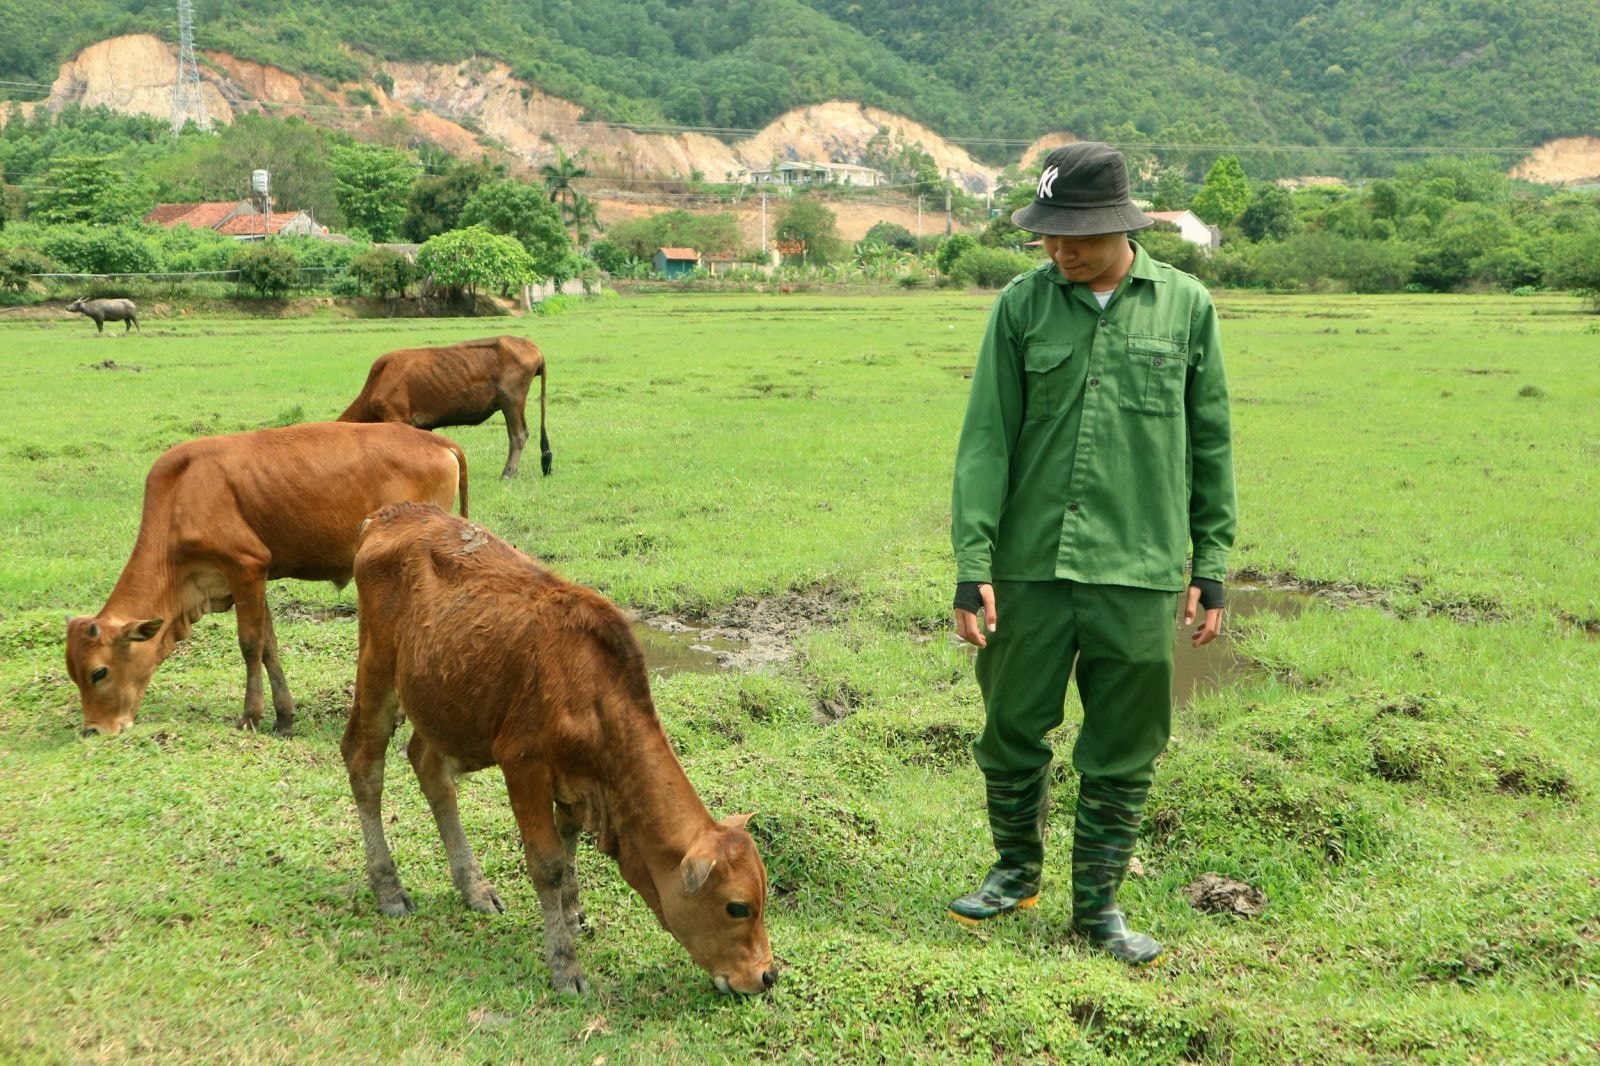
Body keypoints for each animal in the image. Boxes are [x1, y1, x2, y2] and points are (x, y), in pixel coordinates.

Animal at [68, 419, 467, 736]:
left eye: (99, 672)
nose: (93, 730)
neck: (180, 498)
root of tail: (438, 442)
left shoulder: (244, 567)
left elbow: (249, 645)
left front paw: (250, 716)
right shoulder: (251, 579)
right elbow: (269, 647)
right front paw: (284, 717)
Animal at [336, 336, 550, 476]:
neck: (379, 381)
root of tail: (529, 345)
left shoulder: (396, 417)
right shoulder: (424, 425)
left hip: (512, 400)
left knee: (518, 434)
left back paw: (508, 472)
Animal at [345, 502, 780, 992]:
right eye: (737, 907)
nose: (767, 975)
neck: (593, 694)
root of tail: (390, 515)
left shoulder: (576, 783)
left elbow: (569, 839)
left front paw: (571, 911)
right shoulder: (523, 764)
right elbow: (548, 863)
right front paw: (564, 962)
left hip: (444, 703)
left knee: (429, 768)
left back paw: (474, 887)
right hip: (377, 670)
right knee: (364, 765)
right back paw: (388, 887)